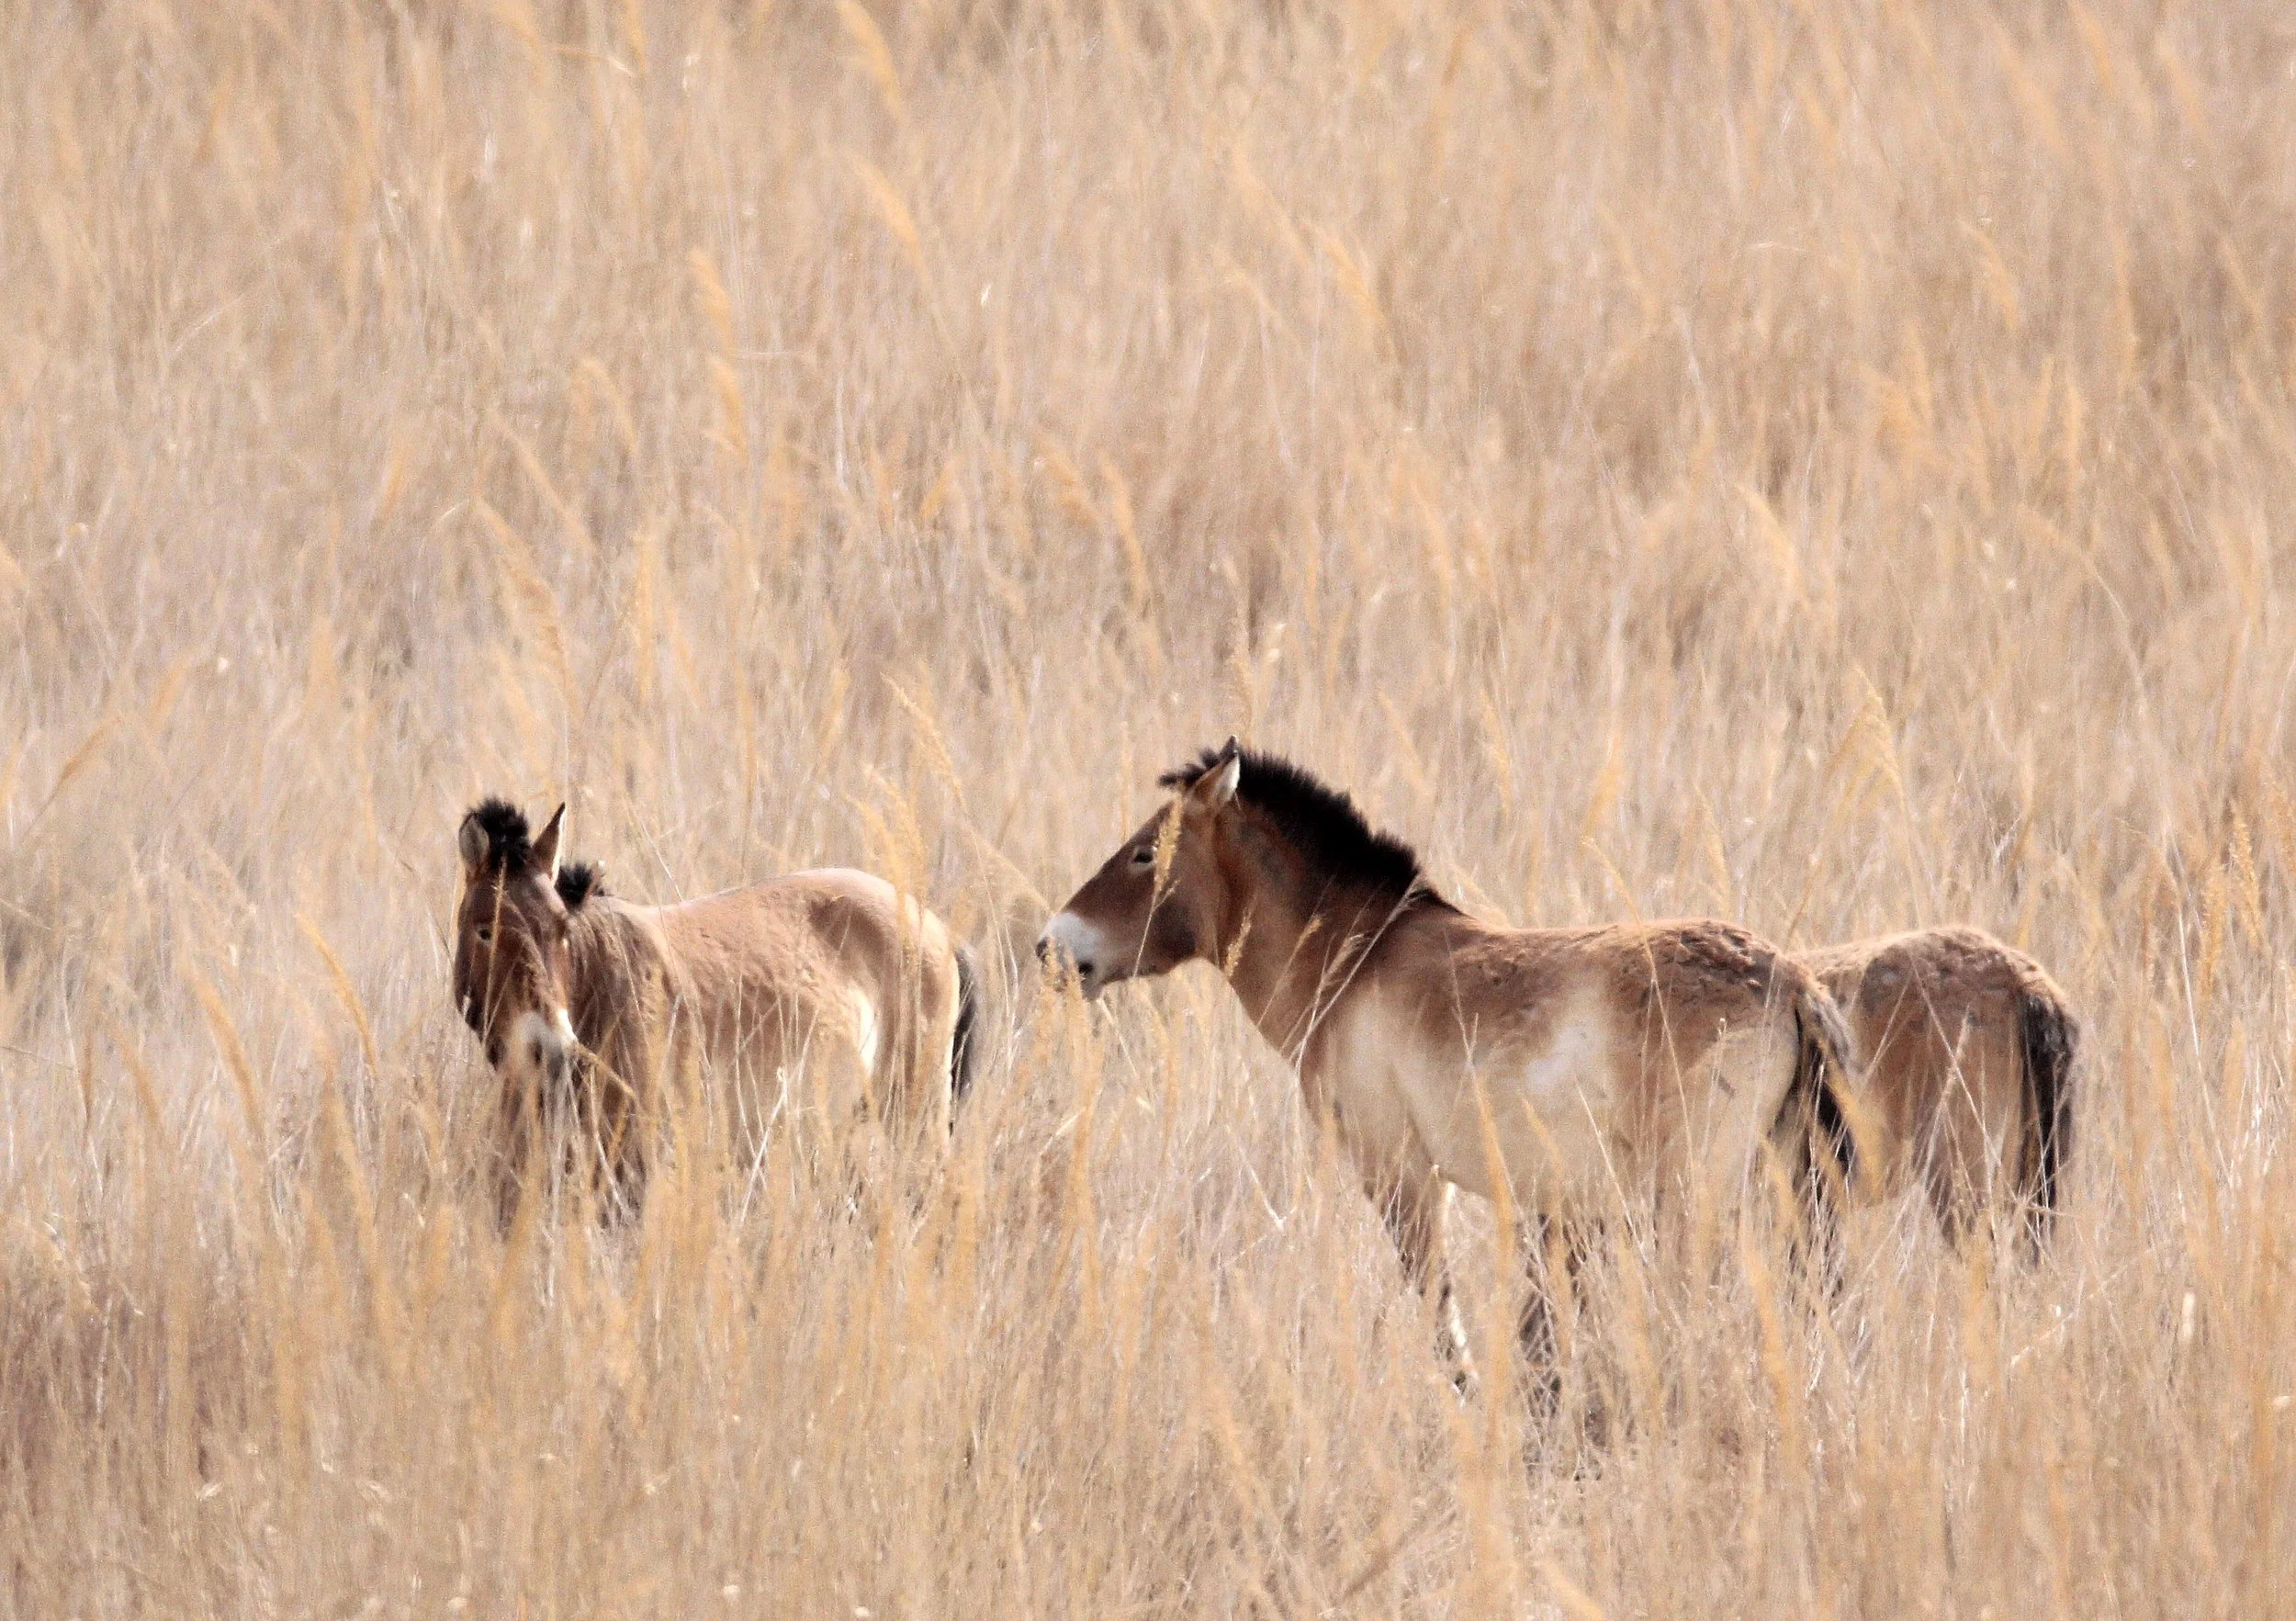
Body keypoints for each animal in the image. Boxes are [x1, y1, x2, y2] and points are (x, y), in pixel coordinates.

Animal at [452, 798, 979, 1219]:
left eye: (562, 928)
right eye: (485, 929)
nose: (553, 1048)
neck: (595, 978)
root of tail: (935, 926)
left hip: (915, 1116)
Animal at [1036, 739, 1857, 1382]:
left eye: (1144, 853)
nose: (1052, 945)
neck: (1357, 961)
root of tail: (1788, 978)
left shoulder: (1402, 1177)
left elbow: (1438, 1310)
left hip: (1695, 1202)